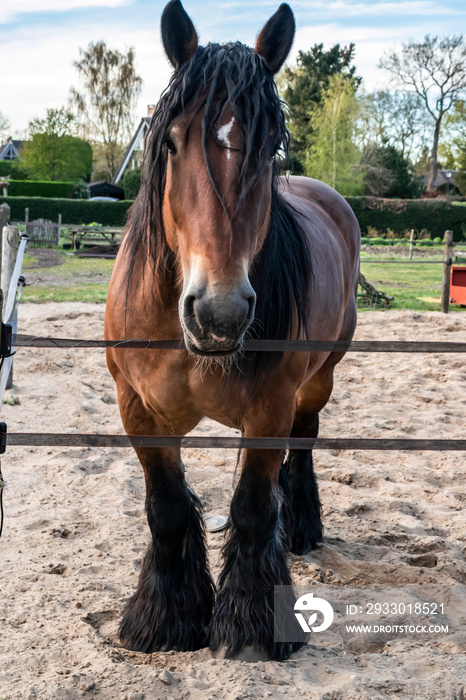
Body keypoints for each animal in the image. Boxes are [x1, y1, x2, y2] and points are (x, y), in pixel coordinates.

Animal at [105, 0, 360, 660]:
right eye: (171, 142)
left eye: (269, 149)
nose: (219, 313)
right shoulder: (136, 408)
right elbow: (167, 508)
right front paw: (164, 620)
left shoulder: (269, 407)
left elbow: (251, 508)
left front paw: (250, 627)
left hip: (318, 379)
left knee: (304, 442)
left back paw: (302, 527)